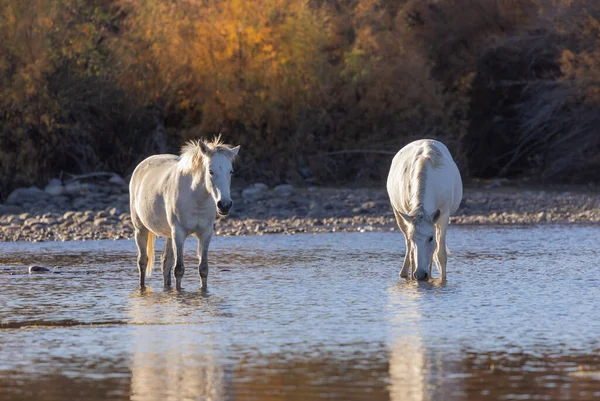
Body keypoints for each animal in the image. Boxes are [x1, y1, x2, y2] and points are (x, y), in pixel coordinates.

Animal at [129, 137, 239, 288]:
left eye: (231, 172)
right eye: (211, 171)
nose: (225, 205)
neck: (196, 198)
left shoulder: (206, 233)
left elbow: (203, 269)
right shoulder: (179, 233)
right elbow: (179, 269)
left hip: (169, 234)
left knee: (166, 262)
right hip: (140, 229)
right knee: (143, 261)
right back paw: (142, 287)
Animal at [386, 139, 462, 280]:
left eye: (430, 238)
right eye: (413, 238)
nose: (421, 274)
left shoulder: (444, 215)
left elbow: (440, 253)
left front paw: (442, 280)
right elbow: (412, 252)